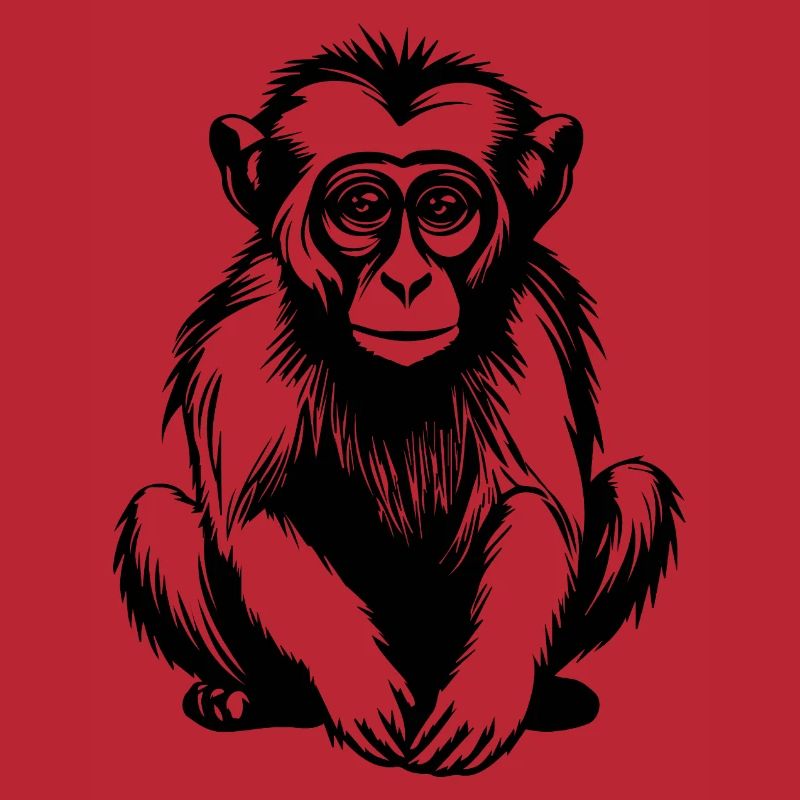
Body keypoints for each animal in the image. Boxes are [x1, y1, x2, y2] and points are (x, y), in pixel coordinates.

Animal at [115, 33, 681, 776]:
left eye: (442, 209)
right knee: (160, 520)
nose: (407, 280)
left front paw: (486, 695)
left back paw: (548, 695)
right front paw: (362, 686)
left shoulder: (533, 316)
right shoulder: (244, 333)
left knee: (637, 489)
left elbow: (538, 506)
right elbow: (259, 512)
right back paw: (246, 696)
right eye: (362, 206)